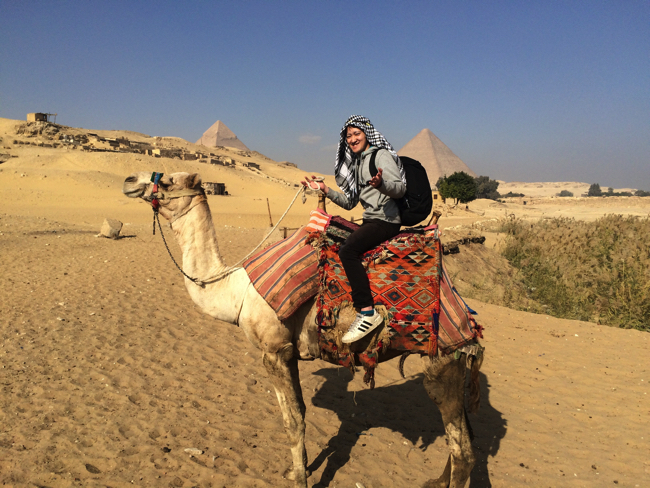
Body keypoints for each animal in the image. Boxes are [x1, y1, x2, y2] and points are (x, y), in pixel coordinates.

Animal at [122, 171, 484, 488]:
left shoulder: (273, 350)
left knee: (463, 448)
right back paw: (436, 480)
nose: (128, 180)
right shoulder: (290, 353)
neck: (237, 290)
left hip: (442, 361)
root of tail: (467, 319)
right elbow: (302, 412)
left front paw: (299, 478)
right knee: (465, 436)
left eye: (167, 180)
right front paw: (299, 469)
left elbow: (292, 420)